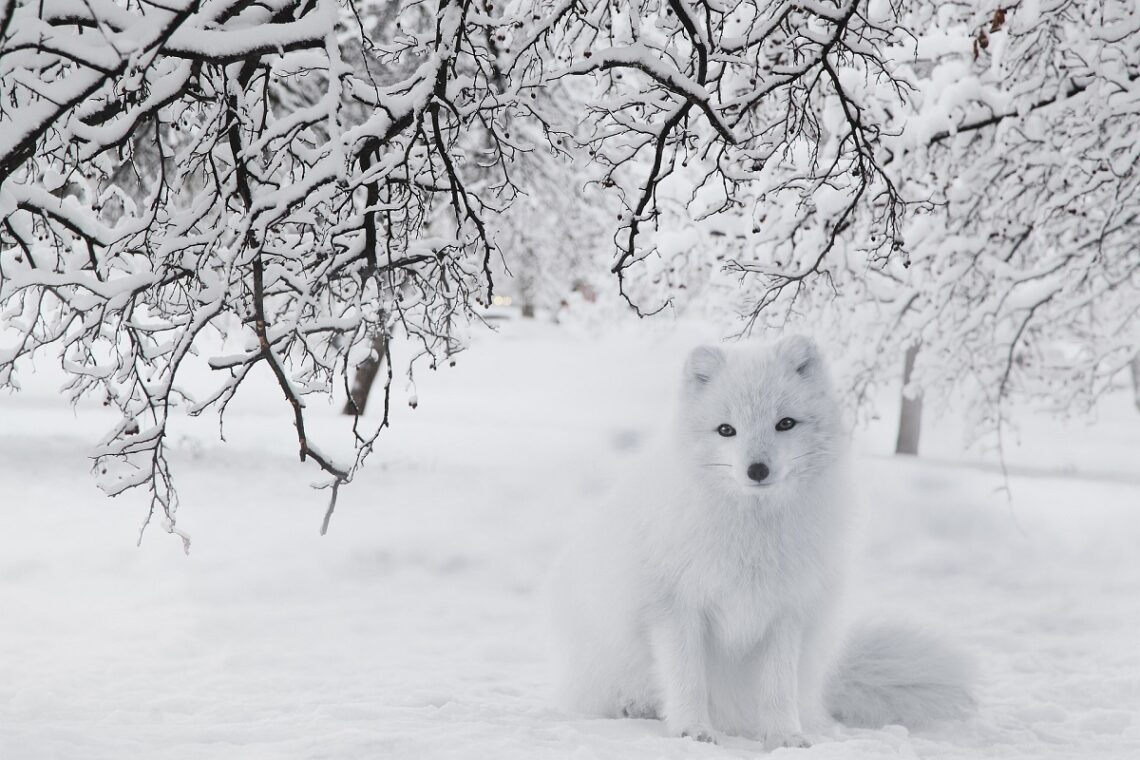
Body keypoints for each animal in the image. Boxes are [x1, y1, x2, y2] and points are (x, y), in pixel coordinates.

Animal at [549, 334, 971, 747]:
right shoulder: (675, 607)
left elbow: (777, 688)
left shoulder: (785, 613)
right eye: (726, 430)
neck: (753, 535)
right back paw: (635, 706)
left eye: (785, 423)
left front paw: (785, 736)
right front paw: (691, 731)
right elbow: (688, 679)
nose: (757, 470)